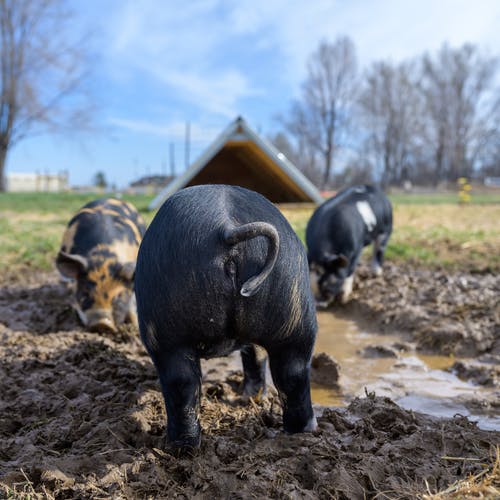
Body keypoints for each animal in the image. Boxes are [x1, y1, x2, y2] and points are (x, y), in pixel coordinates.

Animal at [135, 186, 318, 452]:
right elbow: (255, 356)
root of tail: (227, 228)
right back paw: (300, 432)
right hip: (294, 311)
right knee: (292, 375)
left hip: (163, 330)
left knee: (178, 382)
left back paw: (175, 447)